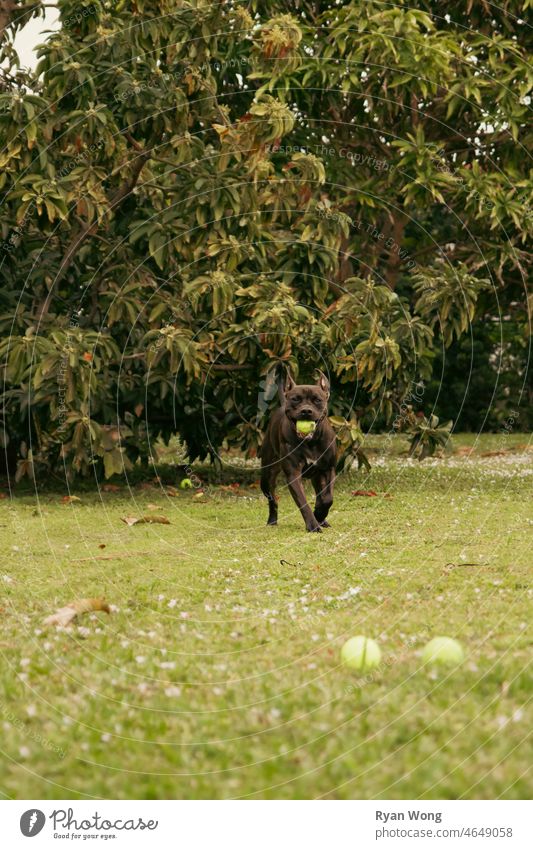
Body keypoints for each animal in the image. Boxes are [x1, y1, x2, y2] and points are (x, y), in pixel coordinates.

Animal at [260, 370, 334, 528]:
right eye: (295, 399)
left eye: (317, 400)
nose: (306, 410)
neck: (311, 442)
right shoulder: (293, 474)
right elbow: (303, 503)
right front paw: (313, 525)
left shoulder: (328, 469)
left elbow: (327, 498)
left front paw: (319, 514)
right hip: (267, 476)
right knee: (272, 499)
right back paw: (272, 520)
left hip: (317, 476)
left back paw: (322, 519)